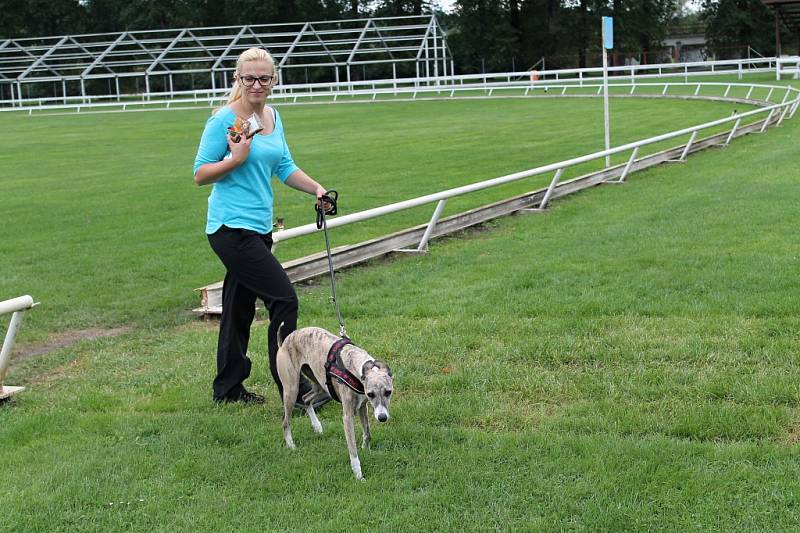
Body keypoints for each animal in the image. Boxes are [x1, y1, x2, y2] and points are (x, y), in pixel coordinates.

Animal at [276, 324, 396, 478]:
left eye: (388, 392)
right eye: (371, 394)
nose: (382, 418)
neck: (355, 366)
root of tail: (283, 342)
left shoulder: (362, 406)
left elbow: (368, 433)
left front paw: (365, 449)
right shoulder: (348, 416)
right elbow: (353, 450)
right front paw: (358, 474)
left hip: (319, 385)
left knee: (305, 399)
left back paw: (317, 426)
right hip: (291, 389)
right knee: (286, 420)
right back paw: (291, 445)